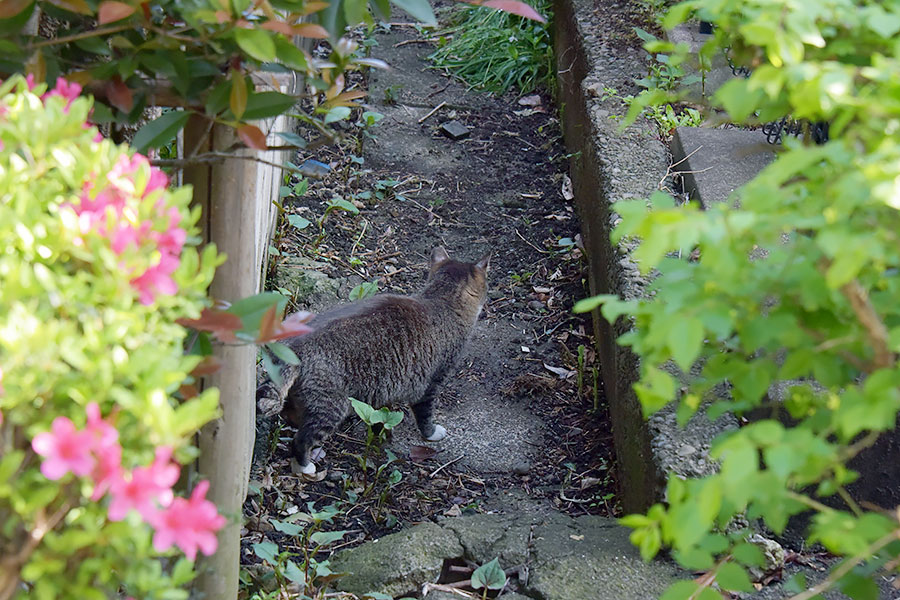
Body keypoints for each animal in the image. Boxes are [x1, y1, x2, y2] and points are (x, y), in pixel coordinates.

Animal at [256, 246, 488, 476]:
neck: (441, 300)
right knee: (301, 439)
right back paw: (304, 466)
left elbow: (380, 413)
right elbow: (425, 415)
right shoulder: (430, 384)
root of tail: (295, 346)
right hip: (331, 407)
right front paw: (431, 433)